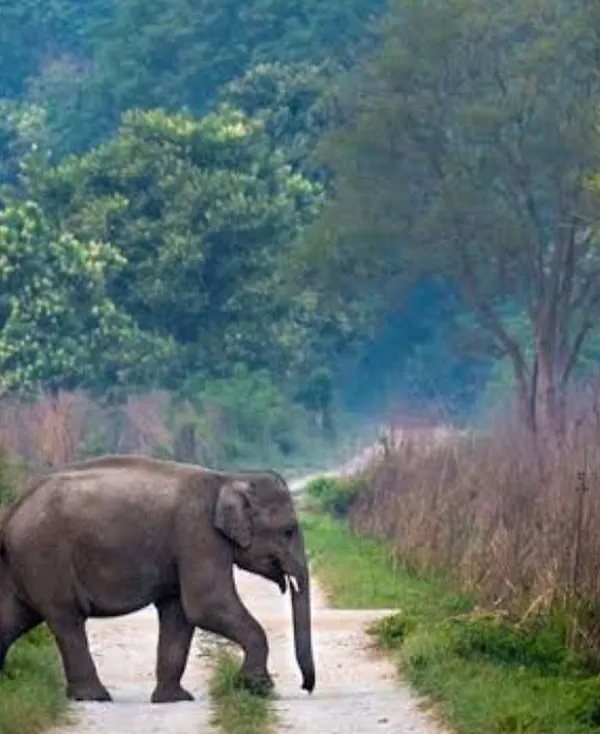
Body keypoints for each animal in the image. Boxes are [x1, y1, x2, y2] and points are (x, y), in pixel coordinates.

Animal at [0, 454, 315, 703]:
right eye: (288, 530)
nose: (306, 687)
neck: (227, 478)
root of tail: (11, 513)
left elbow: (179, 613)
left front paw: (175, 699)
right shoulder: (198, 533)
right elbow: (206, 605)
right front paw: (257, 689)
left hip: (27, 564)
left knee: (14, 616)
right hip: (44, 557)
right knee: (67, 619)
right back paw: (95, 697)